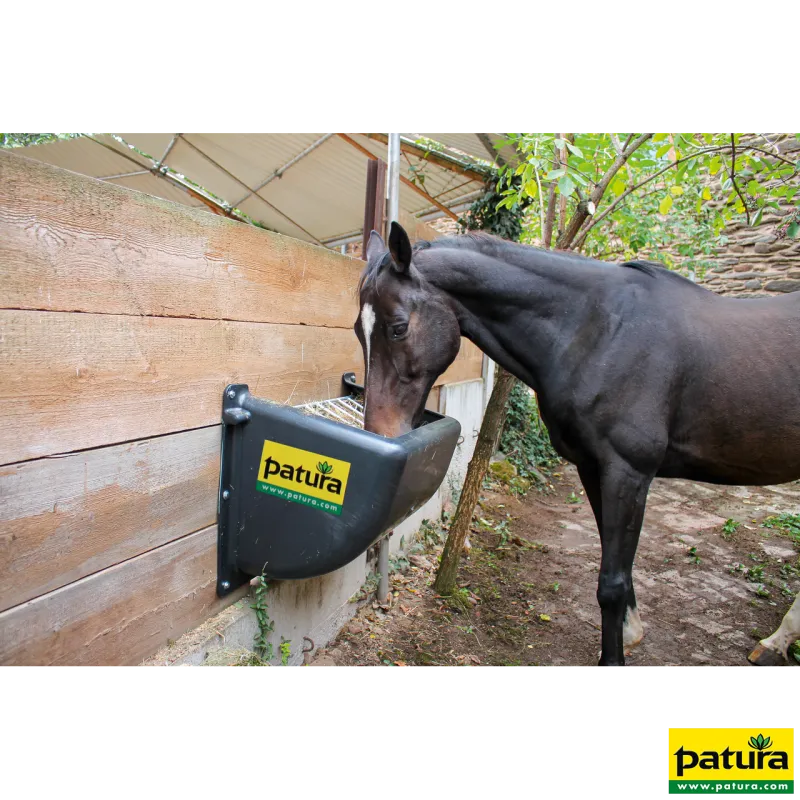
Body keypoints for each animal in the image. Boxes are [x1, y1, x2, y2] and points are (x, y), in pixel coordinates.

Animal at [354, 221, 800, 671]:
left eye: (397, 327)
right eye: (359, 330)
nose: (381, 431)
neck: (599, 331)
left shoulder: (627, 472)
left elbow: (612, 581)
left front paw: (613, 660)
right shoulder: (592, 467)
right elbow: (615, 559)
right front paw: (630, 634)